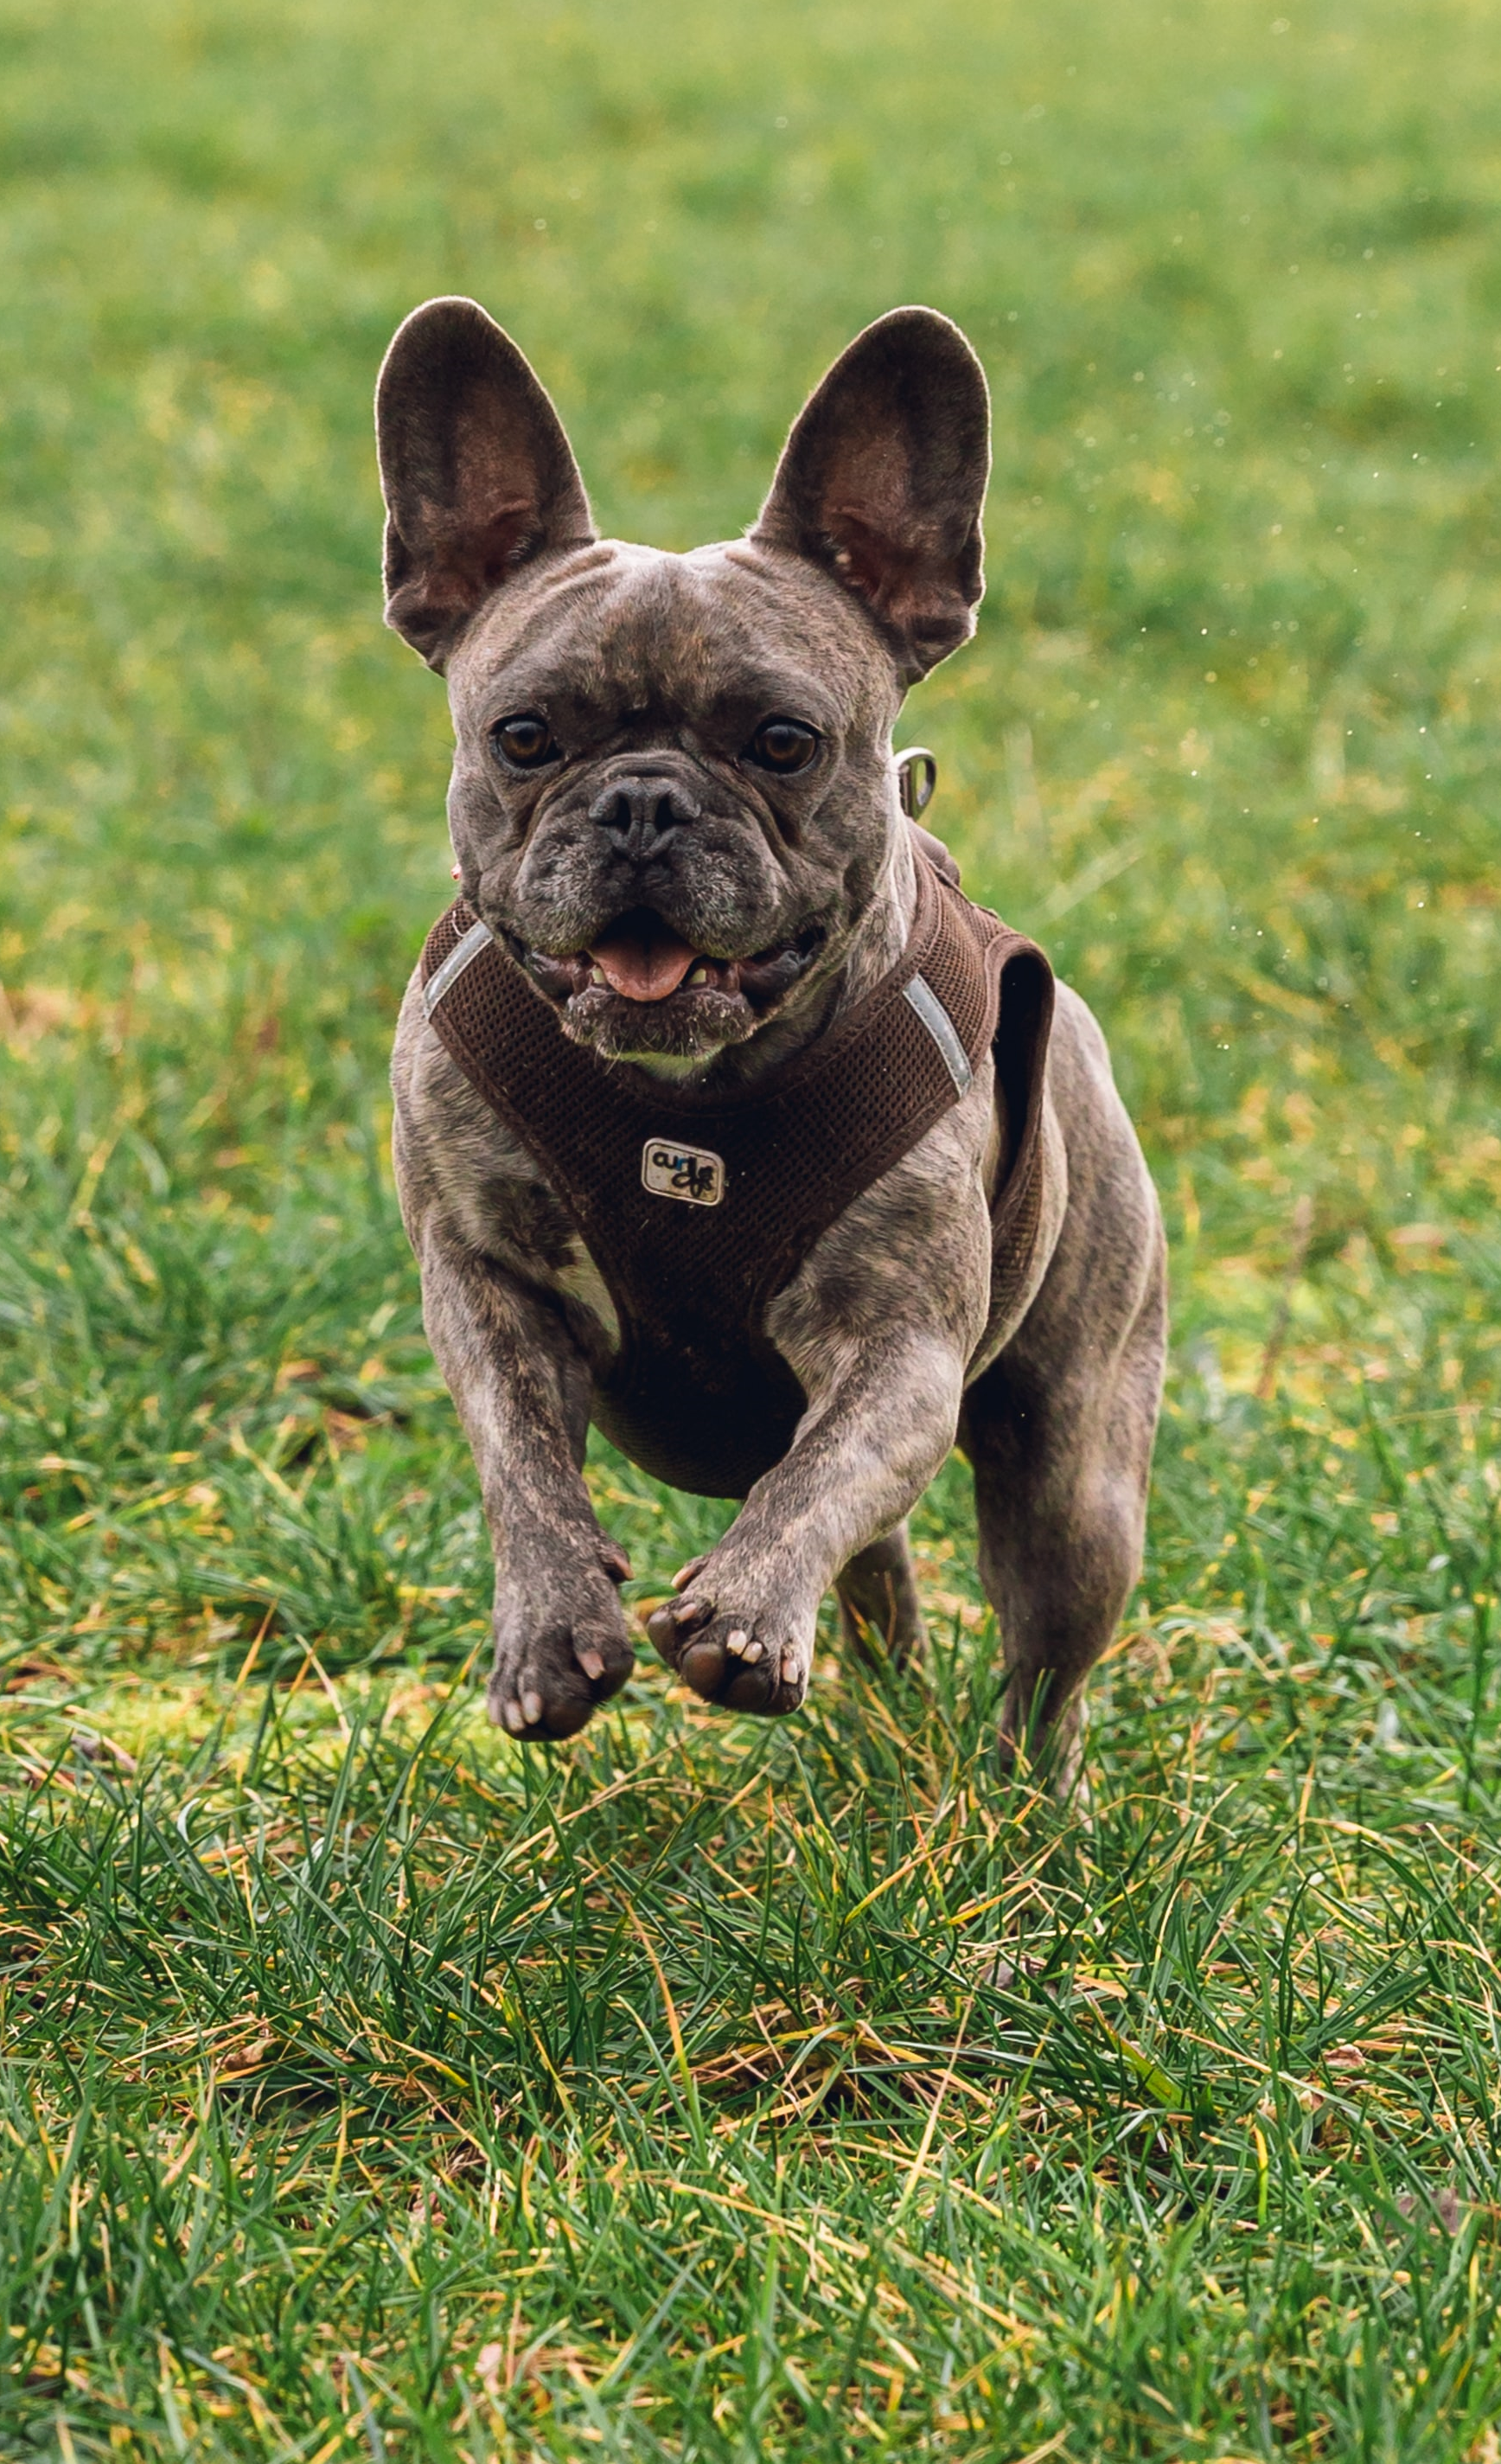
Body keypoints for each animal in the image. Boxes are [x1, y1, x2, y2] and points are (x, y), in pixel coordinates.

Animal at [379, 298, 1163, 1783]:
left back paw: (1025, 1804)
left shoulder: (900, 1343)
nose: (642, 804)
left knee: (1043, 1656)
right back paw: (886, 1697)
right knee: (883, 1567)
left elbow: (822, 1473)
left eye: (785, 742)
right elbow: (524, 1464)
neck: (684, 1104)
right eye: (524, 735)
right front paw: (550, 1629)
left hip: (1076, 1469)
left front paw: (740, 1614)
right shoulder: (484, 1283)